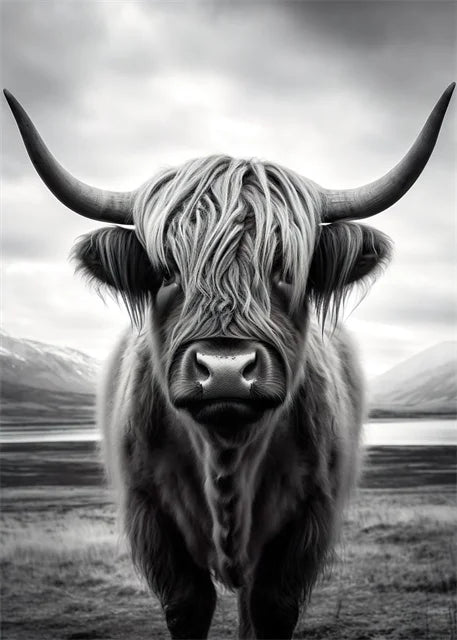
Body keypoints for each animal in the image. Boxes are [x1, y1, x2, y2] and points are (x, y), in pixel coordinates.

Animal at [4, 84, 454, 639]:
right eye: (167, 271)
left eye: (284, 268)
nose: (224, 369)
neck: (226, 454)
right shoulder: (149, 516)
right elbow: (189, 605)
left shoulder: (308, 520)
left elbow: (270, 608)